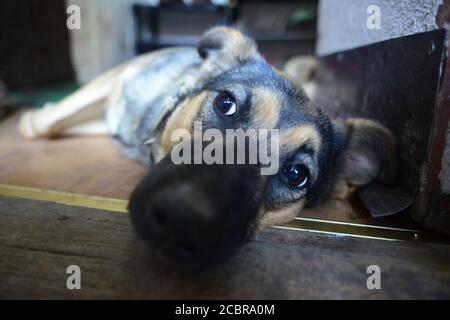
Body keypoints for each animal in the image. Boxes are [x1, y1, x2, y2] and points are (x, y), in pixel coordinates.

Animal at [19, 26, 396, 270]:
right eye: (225, 103)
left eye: (296, 174)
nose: (182, 220)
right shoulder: (116, 80)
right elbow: (46, 123)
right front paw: (32, 116)